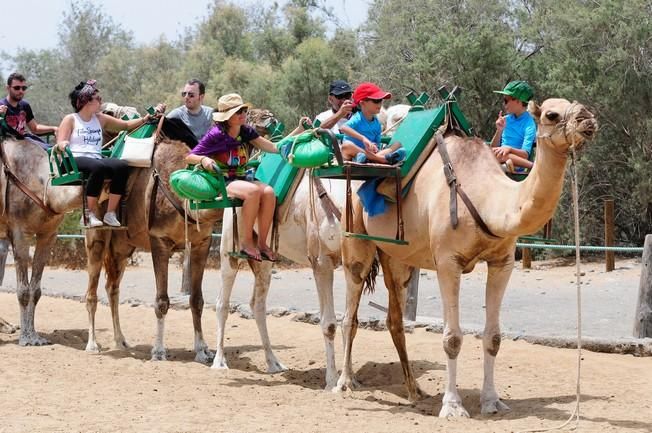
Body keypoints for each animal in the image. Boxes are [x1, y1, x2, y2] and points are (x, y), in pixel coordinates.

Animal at [334, 98, 600, 416]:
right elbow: (452, 338)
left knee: (394, 318)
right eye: (551, 114)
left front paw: (492, 402)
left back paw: (414, 391)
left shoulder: (502, 262)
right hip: (354, 239)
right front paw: (452, 406)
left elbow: (494, 337)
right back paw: (344, 383)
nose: (587, 119)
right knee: (350, 312)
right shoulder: (448, 262)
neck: (487, 199)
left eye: (578, 106)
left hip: (397, 258)